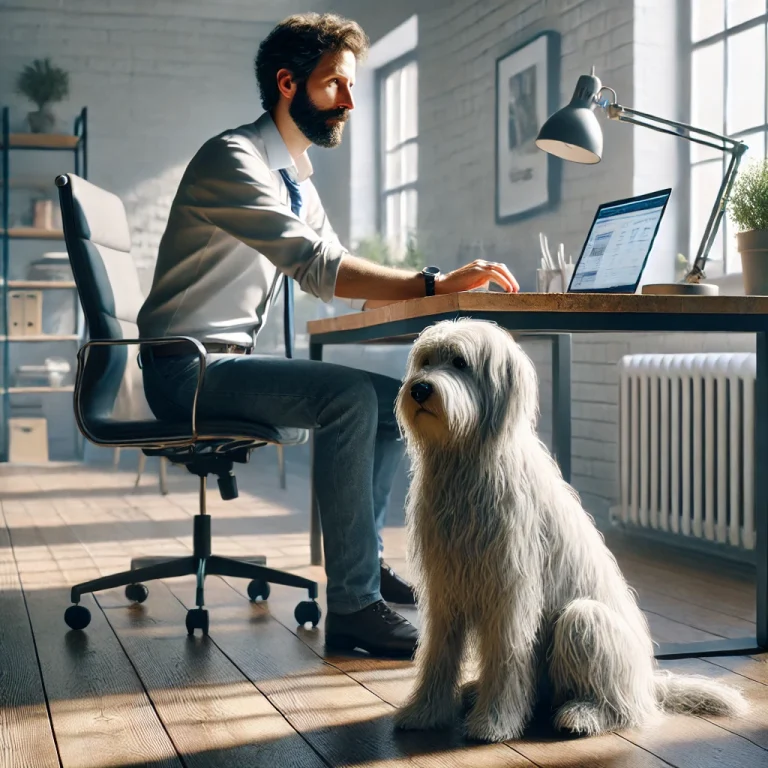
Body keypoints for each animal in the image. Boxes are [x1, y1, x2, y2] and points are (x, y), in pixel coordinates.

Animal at [392, 320, 748, 744]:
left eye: (460, 362)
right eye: (425, 361)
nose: (419, 389)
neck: (465, 463)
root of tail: (648, 684)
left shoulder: (510, 591)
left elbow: (506, 656)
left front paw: (493, 723)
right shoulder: (445, 588)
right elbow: (436, 654)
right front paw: (424, 711)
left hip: (584, 620)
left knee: (620, 707)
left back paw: (582, 715)